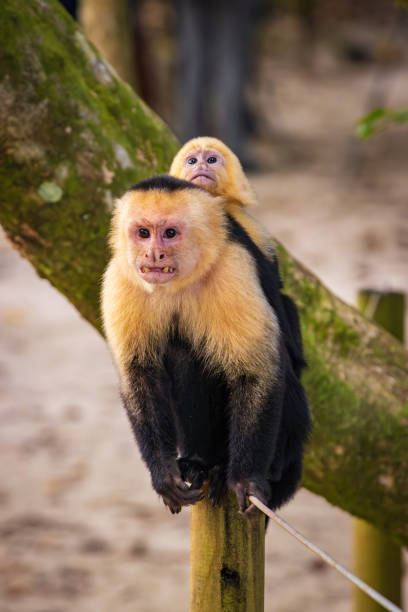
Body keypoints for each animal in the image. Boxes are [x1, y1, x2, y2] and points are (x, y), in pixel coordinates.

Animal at [102, 173, 310, 516]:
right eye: (143, 233)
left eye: (170, 233)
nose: (153, 255)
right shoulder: (120, 277)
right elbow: (140, 373)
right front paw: (163, 472)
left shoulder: (233, 267)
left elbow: (256, 372)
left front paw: (245, 480)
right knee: (181, 354)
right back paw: (199, 463)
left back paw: (243, 470)